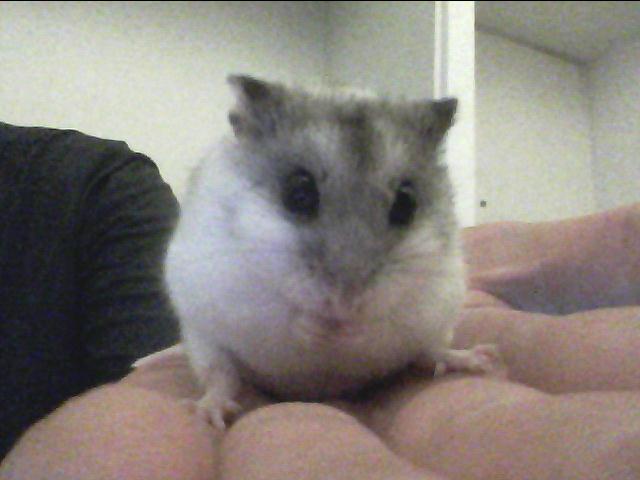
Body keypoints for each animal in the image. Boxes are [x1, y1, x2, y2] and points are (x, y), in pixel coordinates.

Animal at [164, 75, 500, 428]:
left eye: (406, 203)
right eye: (299, 193)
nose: (345, 303)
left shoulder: (424, 300)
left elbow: (380, 325)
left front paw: (348, 330)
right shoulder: (239, 295)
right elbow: (287, 316)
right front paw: (320, 328)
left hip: (436, 325)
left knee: (431, 352)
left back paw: (480, 358)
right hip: (204, 341)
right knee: (220, 377)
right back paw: (209, 411)